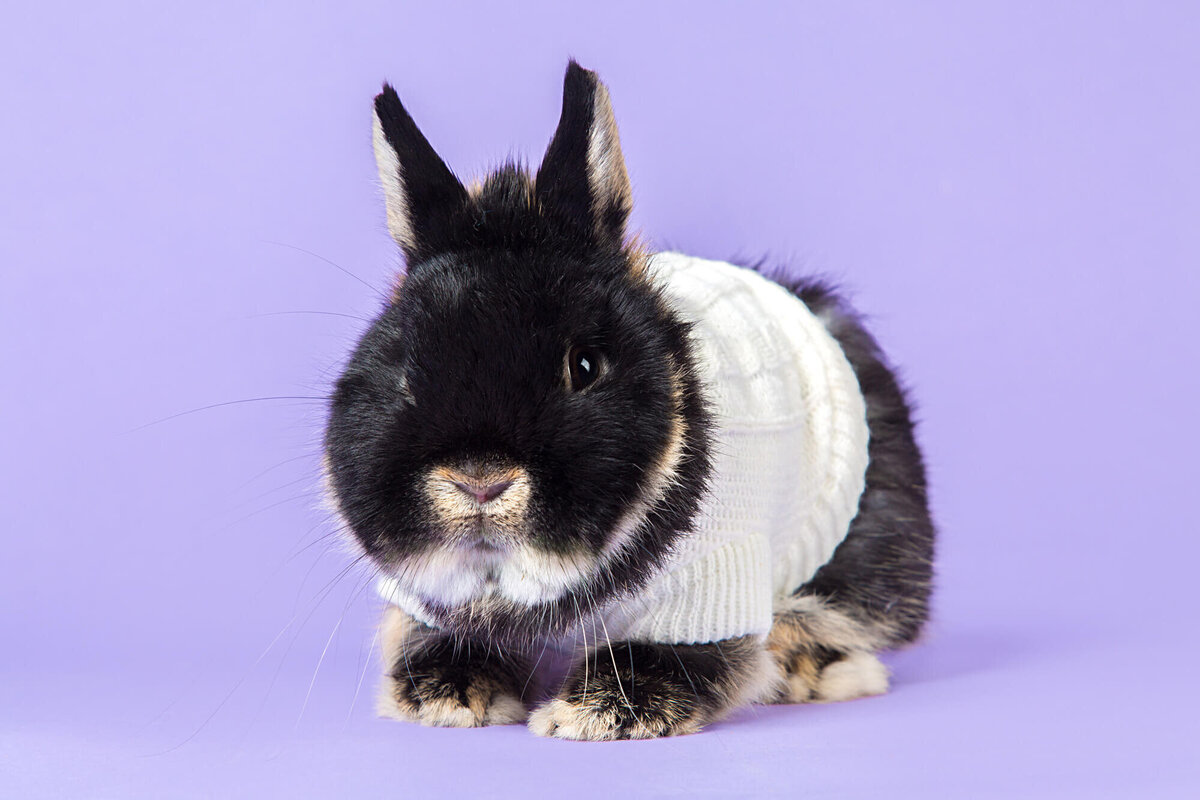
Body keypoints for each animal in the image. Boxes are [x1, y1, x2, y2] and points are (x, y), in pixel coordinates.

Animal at [326, 59, 936, 743]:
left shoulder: (713, 585)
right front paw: (450, 699)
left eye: (585, 366)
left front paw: (586, 718)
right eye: (406, 371)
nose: (478, 481)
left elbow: (668, 658)